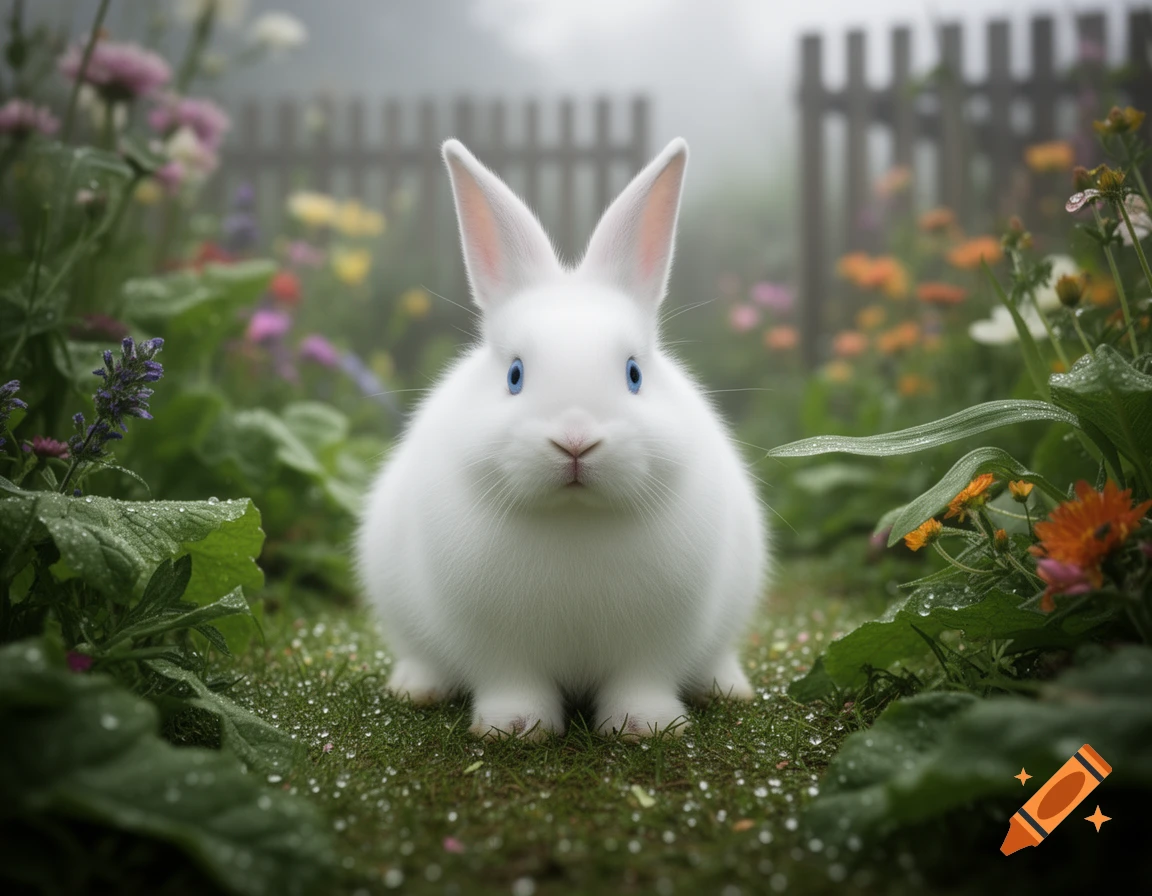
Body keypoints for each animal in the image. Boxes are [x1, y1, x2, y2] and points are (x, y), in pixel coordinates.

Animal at [355, 135, 769, 740]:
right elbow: (513, 681)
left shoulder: (652, 643)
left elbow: (640, 680)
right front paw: (515, 728)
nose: (575, 442)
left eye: (634, 374)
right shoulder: (500, 645)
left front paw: (645, 726)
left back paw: (729, 687)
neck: (575, 518)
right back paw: (417, 687)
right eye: (515, 375)